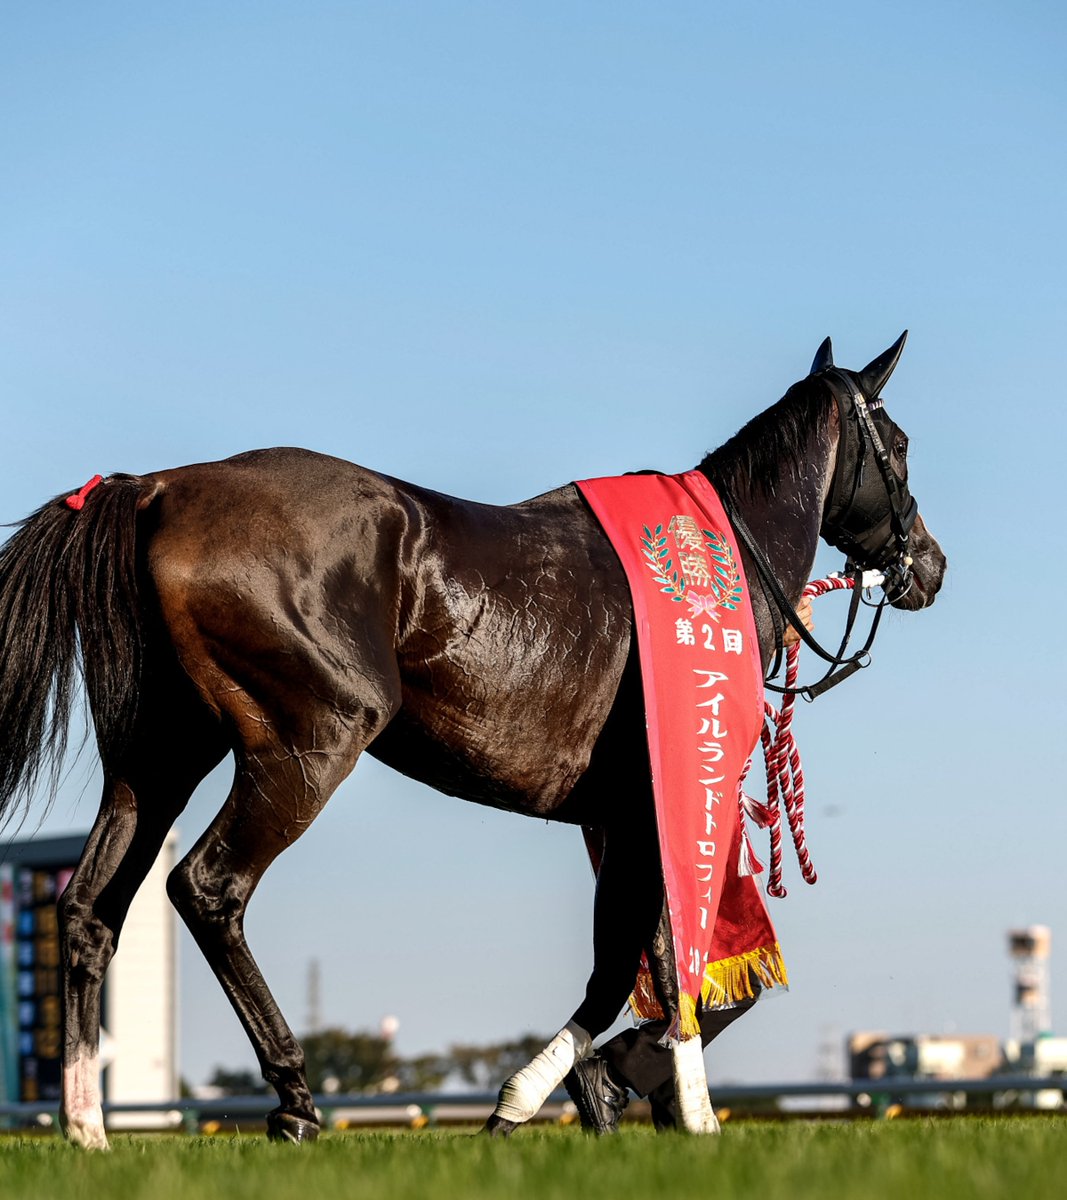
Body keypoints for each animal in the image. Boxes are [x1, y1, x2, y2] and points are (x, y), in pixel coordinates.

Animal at [0, 334, 945, 1147]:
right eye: (898, 444)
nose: (928, 566)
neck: (713, 567)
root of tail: (155, 490)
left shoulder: (620, 815)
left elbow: (640, 962)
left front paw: (605, 1094)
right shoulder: (662, 799)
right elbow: (654, 966)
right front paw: (641, 1105)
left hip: (156, 757)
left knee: (88, 910)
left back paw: (85, 1127)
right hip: (308, 742)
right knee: (206, 887)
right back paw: (295, 1101)